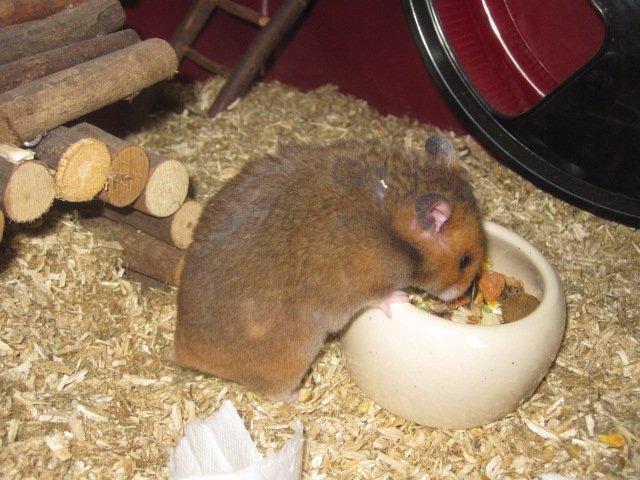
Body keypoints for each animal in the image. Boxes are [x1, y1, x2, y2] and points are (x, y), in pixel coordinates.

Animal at [175, 135, 486, 400]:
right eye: (464, 261)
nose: (462, 295)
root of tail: (183, 350)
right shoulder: (361, 284)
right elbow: (379, 296)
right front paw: (402, 297)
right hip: (294, 355)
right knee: (274, 392)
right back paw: (302, 394)